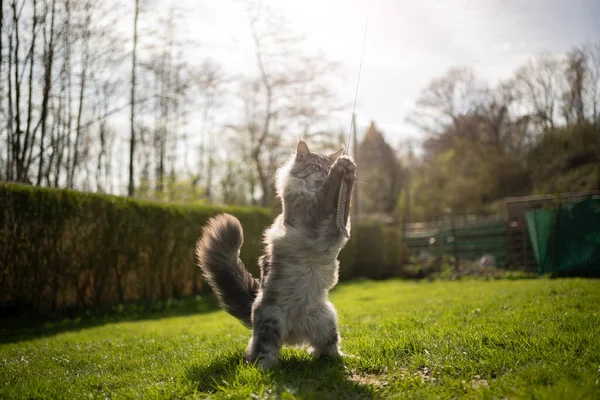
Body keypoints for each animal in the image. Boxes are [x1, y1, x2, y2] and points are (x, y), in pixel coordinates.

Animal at [197, 139, 356, 370]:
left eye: (326, 166)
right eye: (316, 167)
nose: (326, 172)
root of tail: (295, 333)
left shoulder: (335, 228)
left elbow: (344, 202)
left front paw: (349, 172)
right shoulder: (314, 215)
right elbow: (329, 192)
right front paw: (341, 169)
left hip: (327, 321)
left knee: (325, 350)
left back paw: (345, 360)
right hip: (271, 325)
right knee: (260, 355)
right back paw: (264, 370)